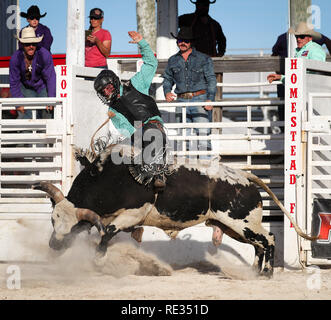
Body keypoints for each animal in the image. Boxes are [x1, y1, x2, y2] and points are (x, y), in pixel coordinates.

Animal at [33, 146, 316, 276]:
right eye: (53, 220)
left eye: (75, 228)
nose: (54, 245)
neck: (114, 177)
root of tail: (244, 177)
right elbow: (105, 231)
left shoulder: (133, 214)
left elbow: (108, 232)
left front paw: (99, 259)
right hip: (233, 228)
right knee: (258, 246)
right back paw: (254, 272)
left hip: (243, 223)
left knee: (268, 239)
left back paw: (266, 273)